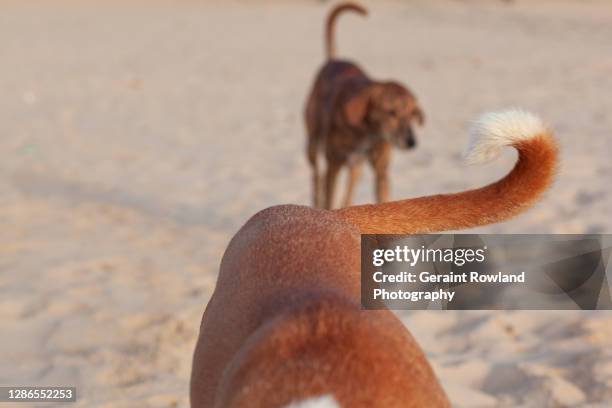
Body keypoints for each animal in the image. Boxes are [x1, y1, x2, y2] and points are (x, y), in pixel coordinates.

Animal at [304, 3, 426, 210]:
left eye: (412, 114)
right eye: (391, 112)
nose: (411, 142)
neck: (367, 131)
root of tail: (333, 60)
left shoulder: (381, 171)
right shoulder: (333, 164)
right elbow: (329, 198)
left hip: (356, 166)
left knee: (349, 189)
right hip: (313, 144)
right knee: (316, 177)